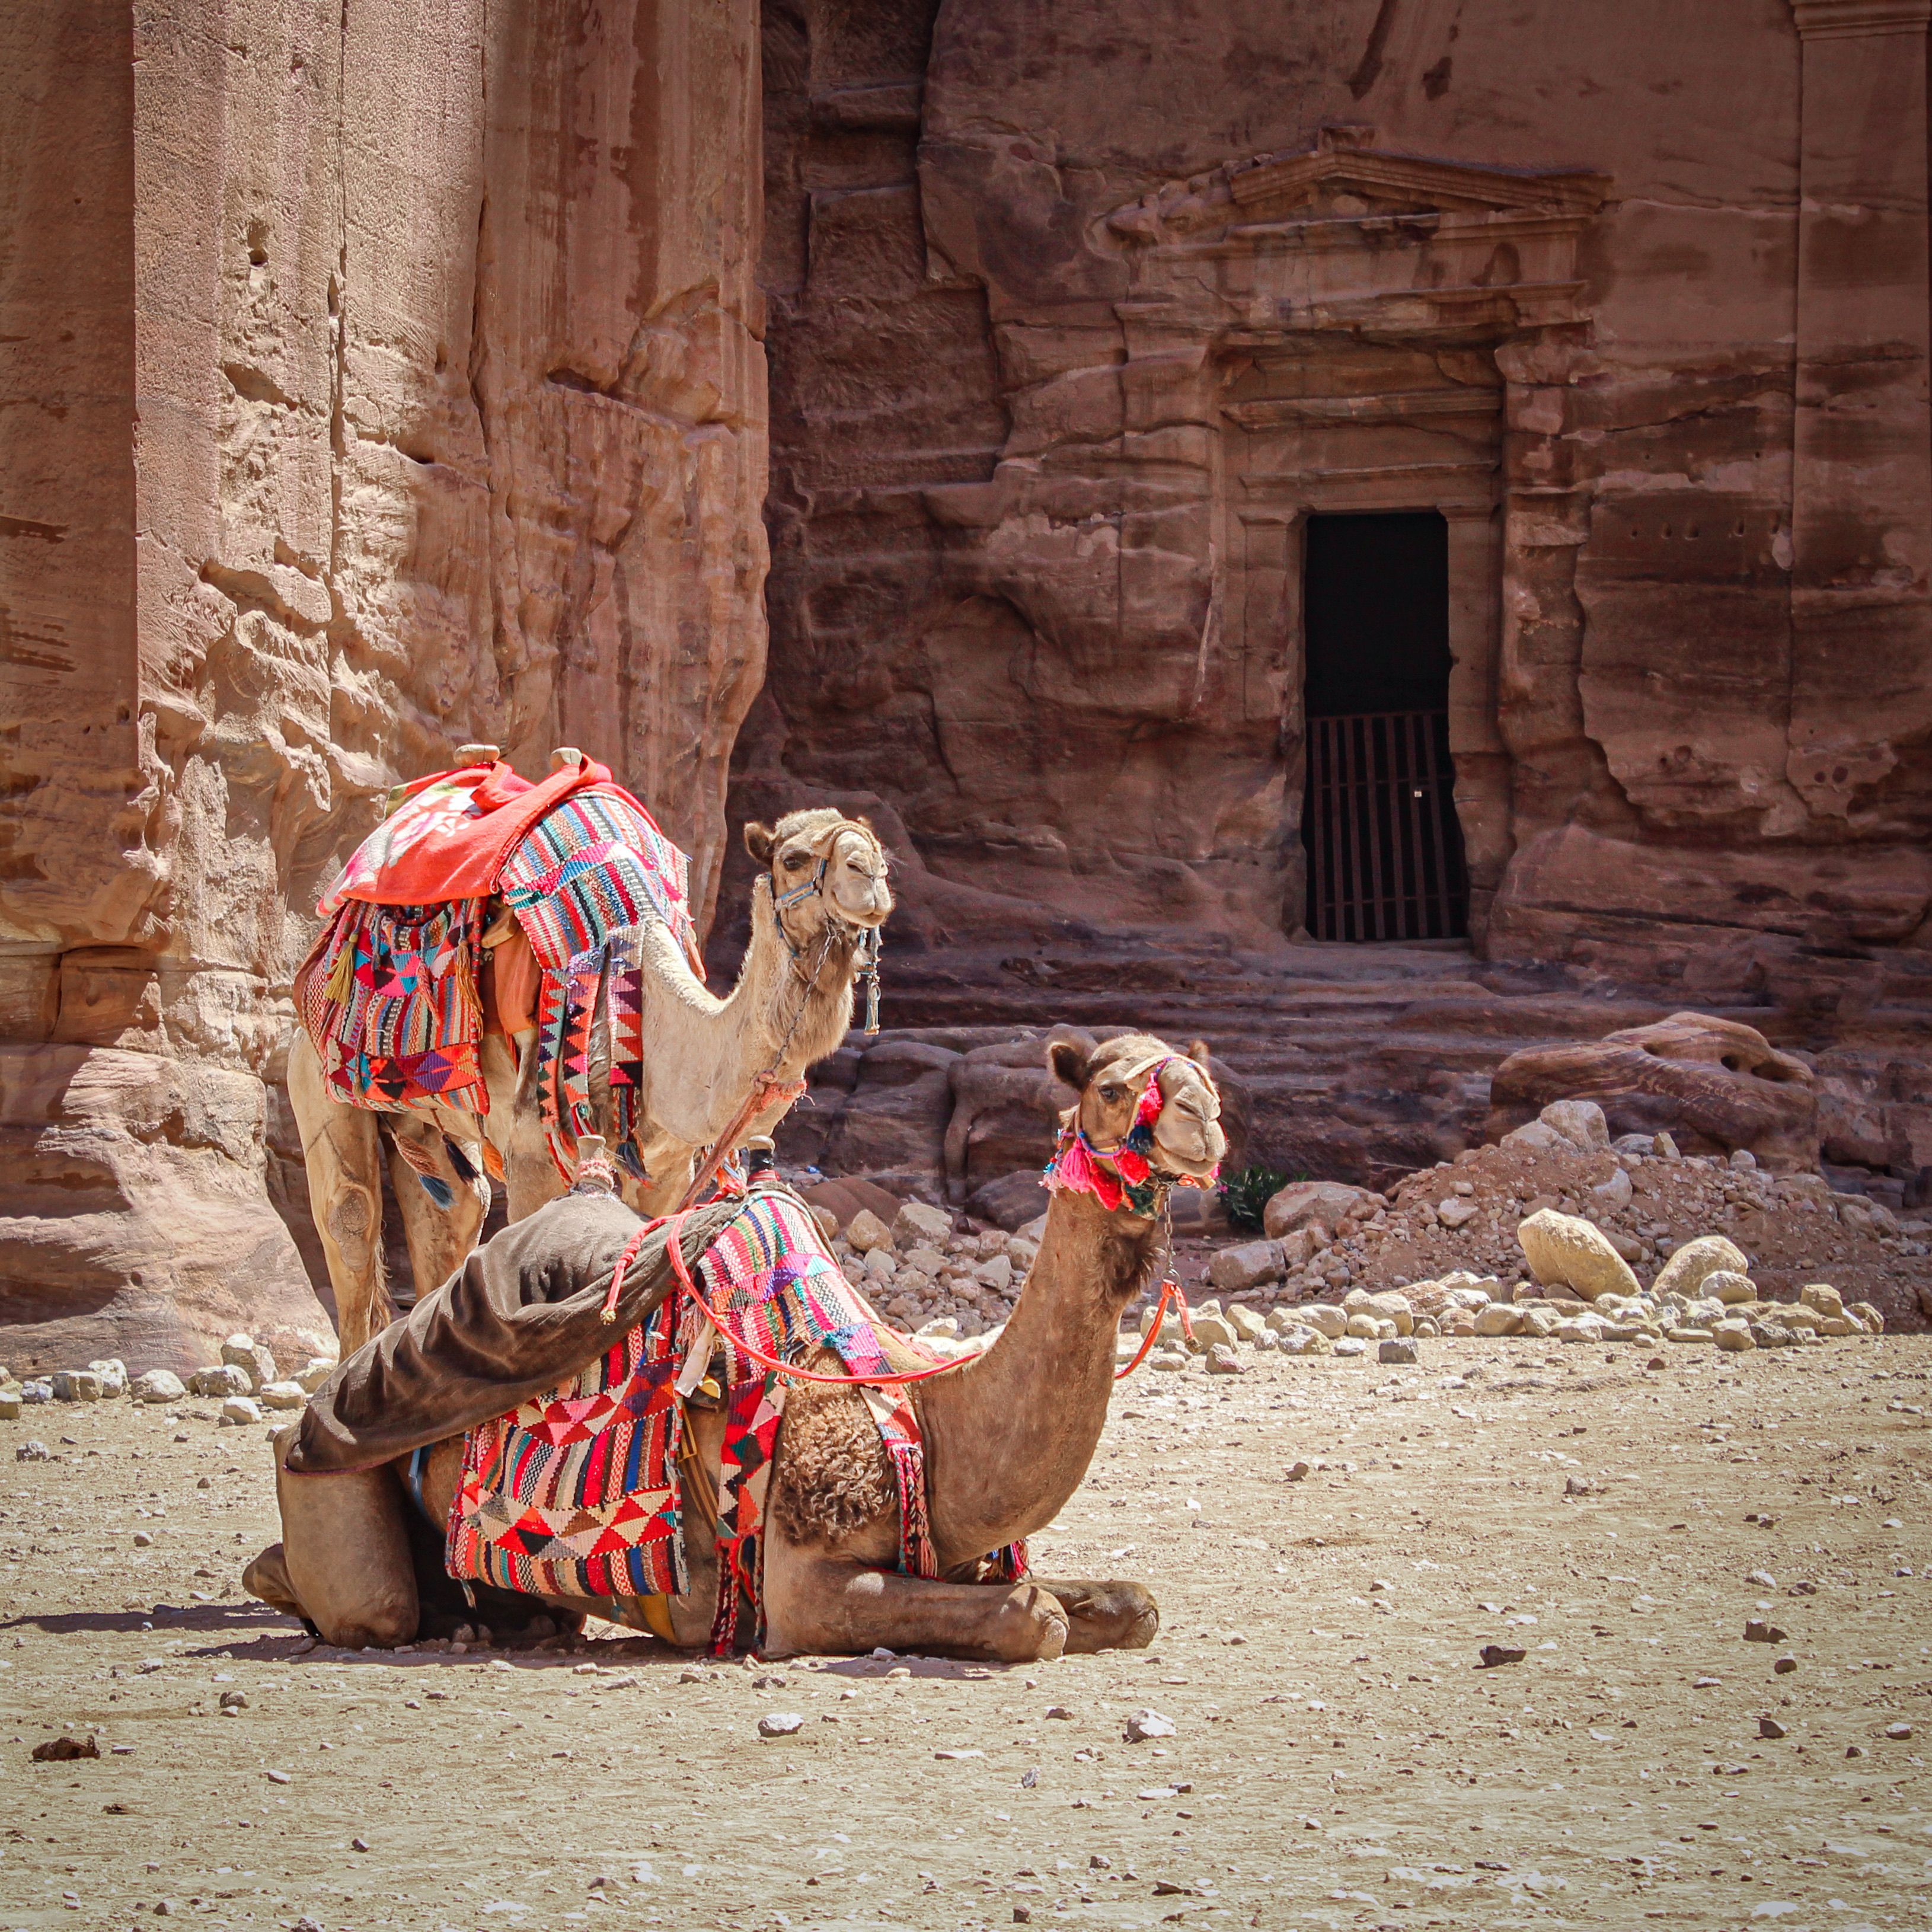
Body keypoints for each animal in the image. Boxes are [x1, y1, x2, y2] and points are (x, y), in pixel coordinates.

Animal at [244, 1029, 1227, 1661]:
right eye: (1110, 1085)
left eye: (1204, 1080)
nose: (1203, 1118)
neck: (931, 1415)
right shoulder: (800, 1586)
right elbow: (1034, 1618)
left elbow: (1131, 1604)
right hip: (334, 1475)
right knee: (348, 1592)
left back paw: (507, 1619)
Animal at [289, 805, 892, 1357]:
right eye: (793, 858)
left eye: (879, 853)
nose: (869, 875)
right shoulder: (534, 1152)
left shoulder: (666, 1169)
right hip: (317, 1075)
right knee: (352, 1216)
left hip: (431, 1120)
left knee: (453, 1208)